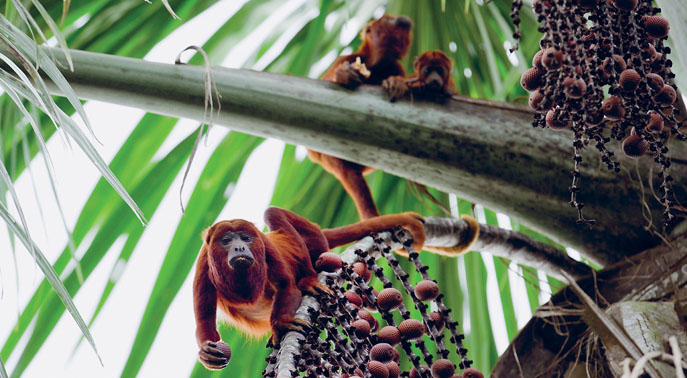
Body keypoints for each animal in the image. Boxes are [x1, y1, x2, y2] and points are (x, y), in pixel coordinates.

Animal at [194, 207, 424, 370]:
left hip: (314, 240)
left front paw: (281, 323)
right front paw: (207, 353)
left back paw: (308, 280)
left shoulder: (265, 246)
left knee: (273, 214)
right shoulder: (204, 262)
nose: (240, 247)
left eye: (246, 238)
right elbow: (204, 319)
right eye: (226, 240)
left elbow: (287, 286)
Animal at [308, 14, 414, 220]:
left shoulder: (396, 67)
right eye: (389, 19)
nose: (403, 18)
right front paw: (342, 75)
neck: (377, 63)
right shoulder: (347, 58)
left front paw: (395, 82)